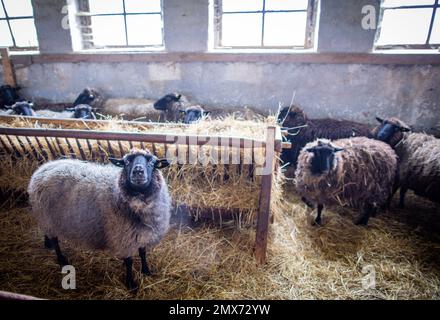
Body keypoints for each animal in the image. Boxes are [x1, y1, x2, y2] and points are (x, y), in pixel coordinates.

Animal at [27, 149, 172, 288]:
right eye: (127, 162)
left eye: (152, 163)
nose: (138, 171)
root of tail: (42, 169)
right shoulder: (123, 238)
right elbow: (129, 261)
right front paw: (130, 283)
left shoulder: (141, 234)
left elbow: (143, 253)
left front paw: (146, 271)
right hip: (47, 215)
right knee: (55, 240)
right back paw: (61, 258)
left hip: (47, 217)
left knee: (47, 231)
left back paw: (47, 244)